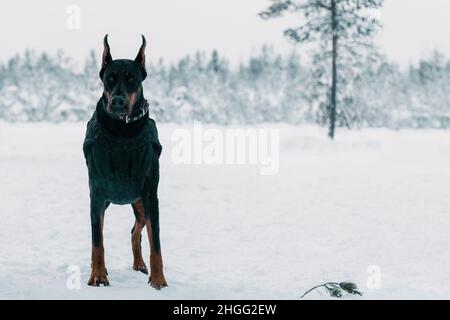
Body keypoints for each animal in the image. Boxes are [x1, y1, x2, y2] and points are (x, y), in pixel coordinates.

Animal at [82, 35, 167, 290]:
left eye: (132, 80)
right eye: (109, 79)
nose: (118, 101)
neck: (122, 133)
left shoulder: (150, 195)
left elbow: (156, 243)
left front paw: (158, 280)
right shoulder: (97, 194)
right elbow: (97, 241)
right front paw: (98, 275)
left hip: (138, 201)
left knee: (136, 229)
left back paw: (140, 264)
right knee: (102, 232)